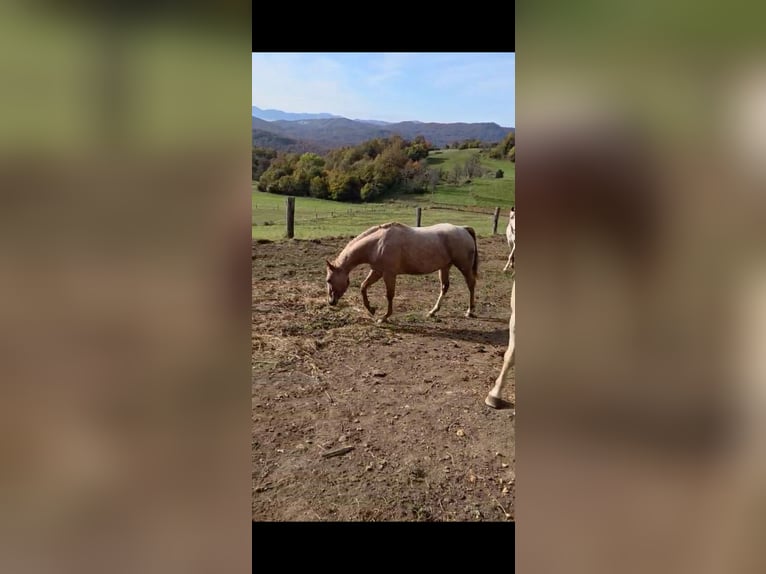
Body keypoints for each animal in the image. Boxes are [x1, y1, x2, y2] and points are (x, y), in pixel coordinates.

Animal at [325, 222, 478, 323]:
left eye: (329, 280)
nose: (331, 302)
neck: (377, 244)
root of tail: (463, 229)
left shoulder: (389, 274)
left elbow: (389, 295)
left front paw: (384, 317)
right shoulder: (377, 271)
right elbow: (363, 287)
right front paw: (371, 310)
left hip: (464, 266)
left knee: (471, 284)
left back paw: (470, 311)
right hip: (445, 267)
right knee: (444, 287)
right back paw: (432, 312)